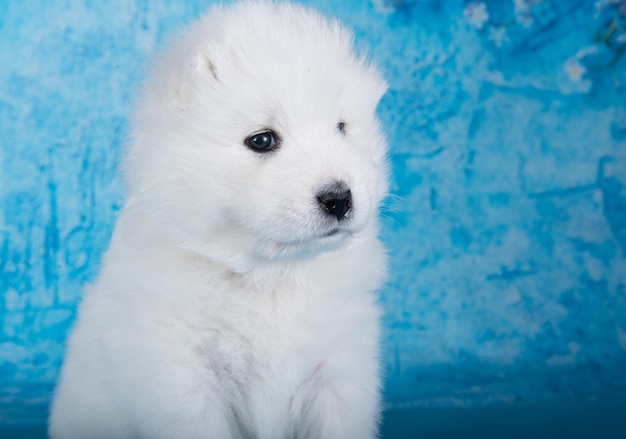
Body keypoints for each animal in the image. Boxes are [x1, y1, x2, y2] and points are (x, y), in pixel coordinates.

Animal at [48, 1, 388, 438]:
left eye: (341, 127)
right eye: (262, 140)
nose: (339, 198)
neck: (270, 275)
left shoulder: (337, 366)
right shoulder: (184, 379)